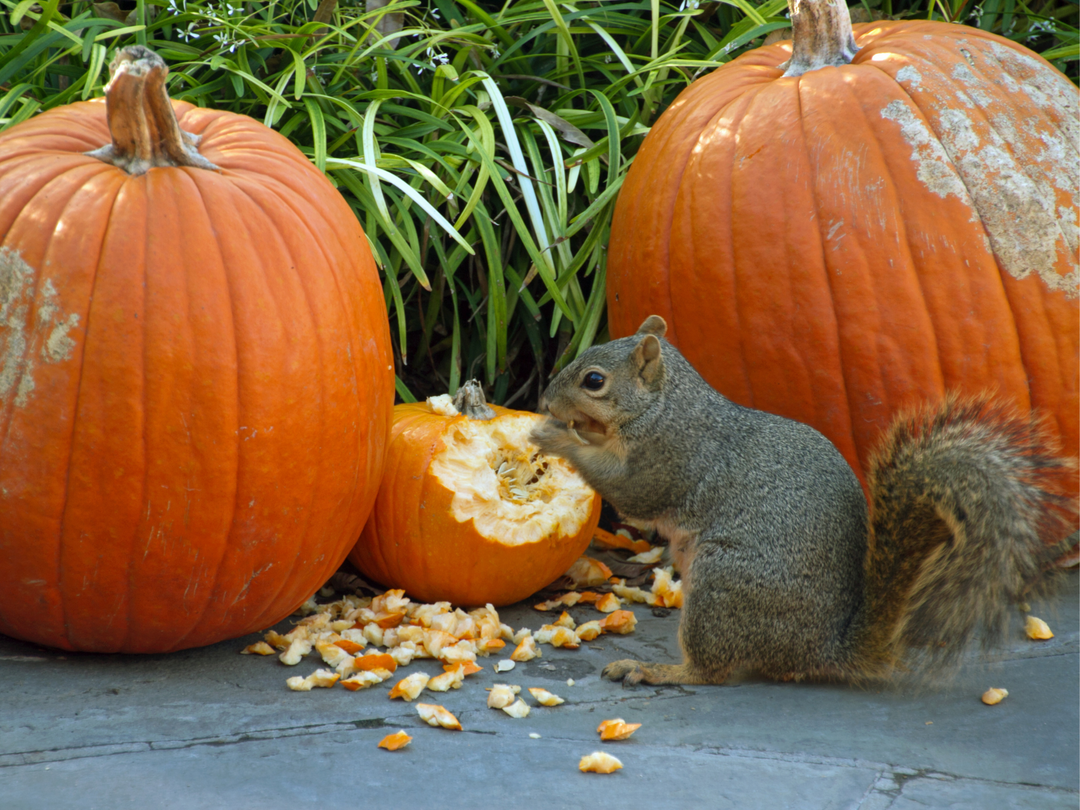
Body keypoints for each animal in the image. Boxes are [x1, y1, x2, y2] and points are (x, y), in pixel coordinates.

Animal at [529, 315, 1071, 686]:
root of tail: (821, 650)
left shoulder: (669, 457)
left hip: (723, 584)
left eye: (594, 381)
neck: (667, 404)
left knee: (711, 671)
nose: (544, 400)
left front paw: (554, 436)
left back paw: (656, 670)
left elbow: (630, 492)